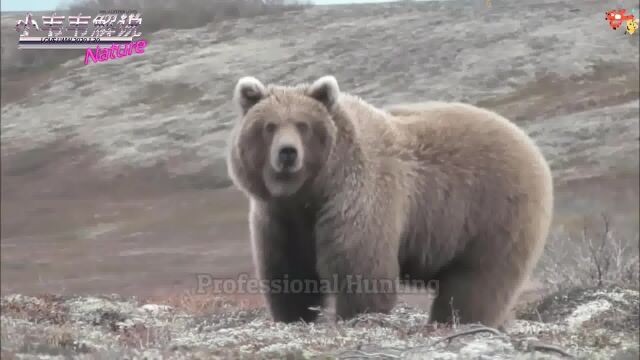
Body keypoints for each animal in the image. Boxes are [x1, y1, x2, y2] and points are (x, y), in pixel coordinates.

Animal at [226, 74, 556, 328]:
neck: (312, 191)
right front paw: (292, 316)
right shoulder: (279, 217)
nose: (287, 153)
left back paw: (454, 321)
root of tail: (531, 145)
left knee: (478, 282)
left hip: (491, 214)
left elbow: (361, 267)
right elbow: (288, 271)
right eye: (269, 126)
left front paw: (357, 316)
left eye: (303, 125)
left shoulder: (357, 198)